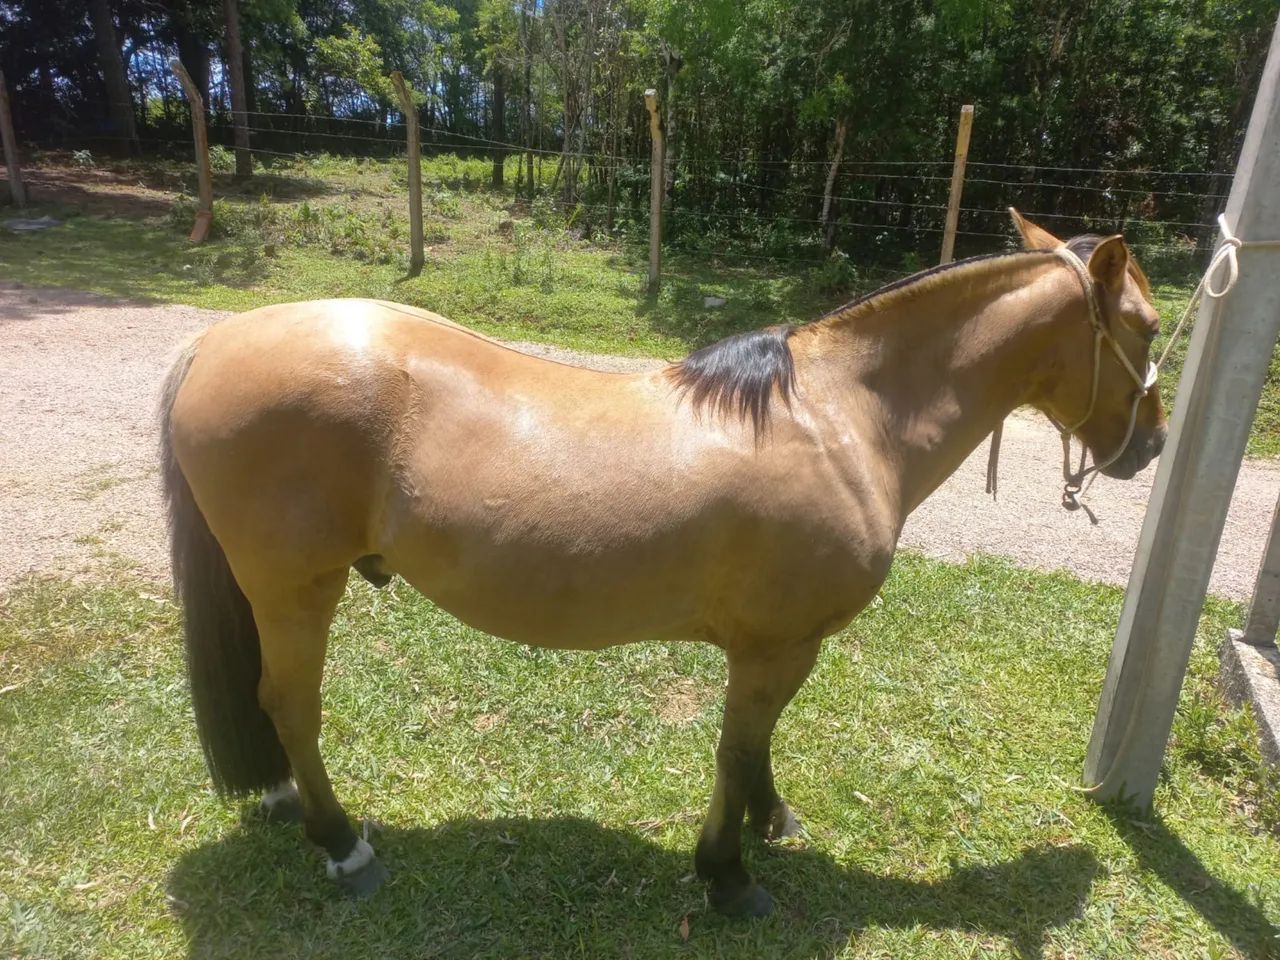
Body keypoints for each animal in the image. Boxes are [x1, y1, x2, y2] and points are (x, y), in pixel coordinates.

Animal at [160, 210, 1166, 917]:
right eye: (1151, 328)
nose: (1151, 447)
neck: (842, 418)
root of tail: (217, 339)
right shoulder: (776, 646)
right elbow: (738, 747)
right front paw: (728, 876)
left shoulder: (774, 646)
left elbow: (756, 748)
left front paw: (771, 821)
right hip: (296, 588)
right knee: (290, 705)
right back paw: (343, 846)